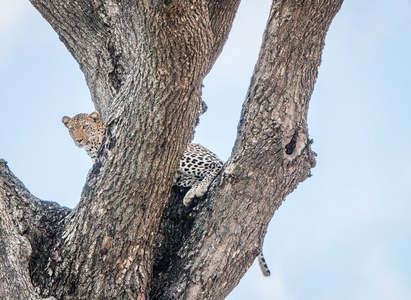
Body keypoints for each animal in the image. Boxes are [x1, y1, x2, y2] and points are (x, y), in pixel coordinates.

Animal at [62, 112, 270, 276]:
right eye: (72, 129)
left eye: (85, 127)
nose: (79, 140)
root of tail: (214, 153)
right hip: (179, 176)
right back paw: (191, 194)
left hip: (184, 156)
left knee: (215, 166)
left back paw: (200, 188)